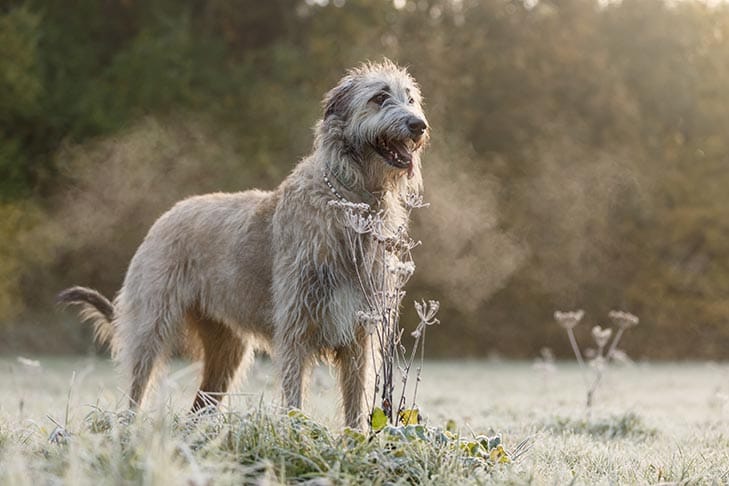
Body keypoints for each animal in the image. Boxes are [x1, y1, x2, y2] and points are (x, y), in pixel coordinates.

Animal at [62, 58, 430, 428]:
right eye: (380, 97)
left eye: (410, 98)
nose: (419, 125)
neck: (351, 202)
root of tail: (163, 218)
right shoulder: (295, 326)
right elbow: (294, 394)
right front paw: (296, 431)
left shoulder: (359, 334)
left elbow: (355, 402)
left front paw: (355, 438)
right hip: (151, 325)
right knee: (138, 387)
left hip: (227, 347)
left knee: (201, 404)